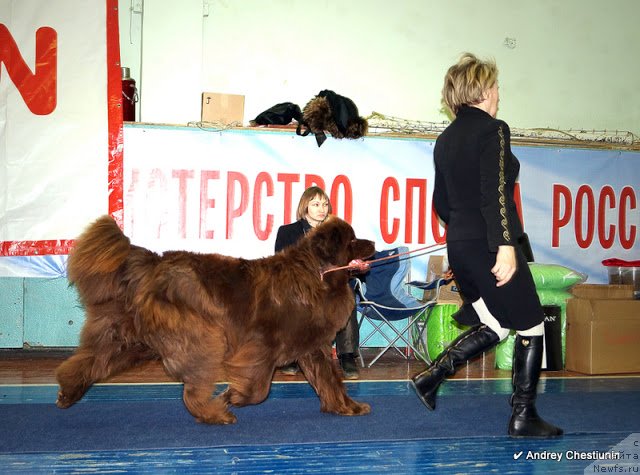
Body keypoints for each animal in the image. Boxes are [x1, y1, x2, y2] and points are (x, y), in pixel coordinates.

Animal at [56, 216, 376, 424]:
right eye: (353, 240)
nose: (374, 242)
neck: (317, 276)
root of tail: (154, 262)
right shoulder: (262, 344)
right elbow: (259, 389)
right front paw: (234, 396)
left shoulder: (312, 348)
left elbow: (330, 380)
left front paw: (347, 407)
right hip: (200, 337)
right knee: (191, 390)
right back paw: (215, 413)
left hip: (132, 340)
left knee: (92, 360)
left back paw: (68, 392)